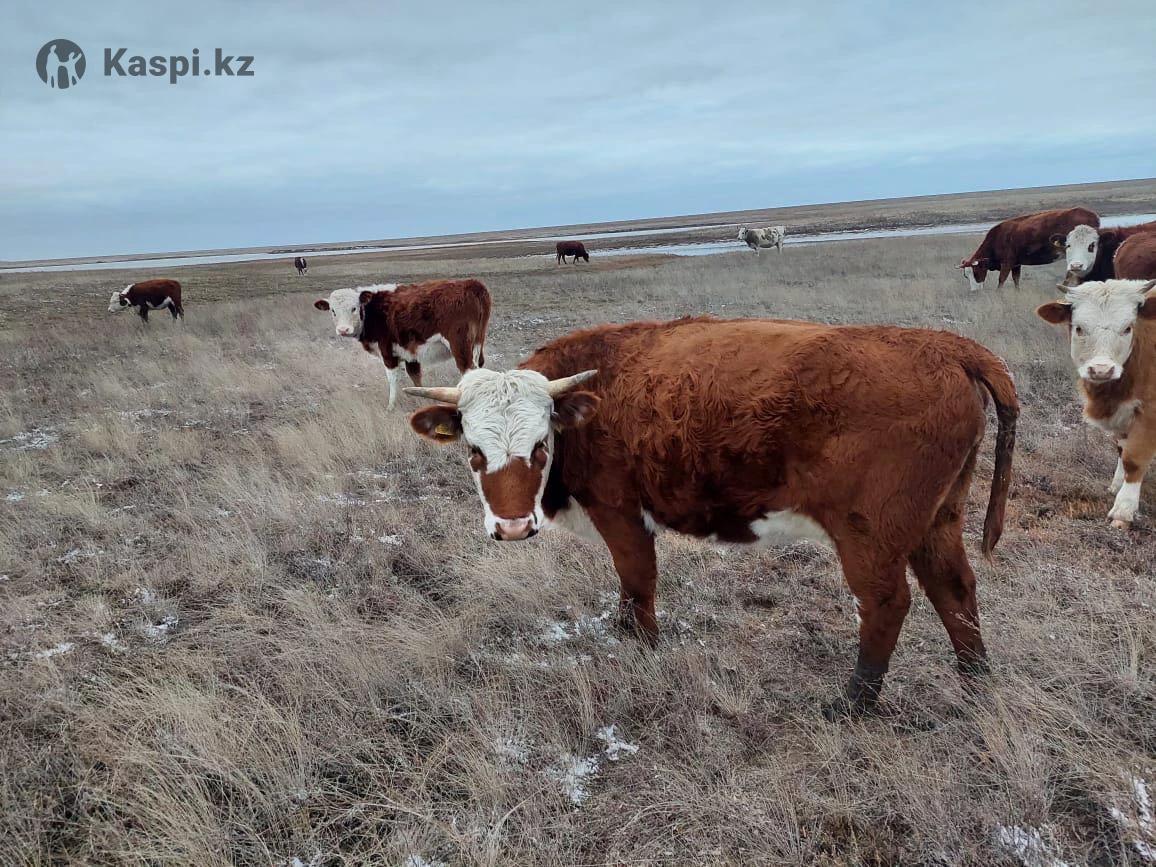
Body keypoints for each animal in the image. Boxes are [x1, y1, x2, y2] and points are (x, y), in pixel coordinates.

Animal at [314, 278, 490, 410]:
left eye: (354, 308)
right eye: (333, 311)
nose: (343, 330)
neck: (374, 310)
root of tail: (472, 284)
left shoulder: (387, 351)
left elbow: (392, 379)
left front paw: (390, 407)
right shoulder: (410, 353)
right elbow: (415, 375)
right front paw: (423, 400)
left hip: (460, 347)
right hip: (476, 344)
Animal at [403, 316, 1018, 718]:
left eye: (537, 448)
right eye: (474, 451)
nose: (512, 528)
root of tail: (945, 347)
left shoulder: (620, 513)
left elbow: (637, 582)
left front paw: (643, 649)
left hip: (871, 537)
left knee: (888, 603)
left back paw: (854, 704)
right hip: (938, 521)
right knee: (955, 589)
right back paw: (975, 683)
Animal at [959, 207, 1099, 289]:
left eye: (976, 272)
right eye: (966, 276)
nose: (974, 291)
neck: (998, 238)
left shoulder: (1007, 263)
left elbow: (1001, 281)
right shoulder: (1016, 264)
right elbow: (1016, 280)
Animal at [1037, 279, 1156, 528]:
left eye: (1127, 328)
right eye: (1079, 328)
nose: (1101, 370)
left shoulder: (1150, 412)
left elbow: (1134, 458)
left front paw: (1123, 510)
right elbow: (1122, 449)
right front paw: (1117, 484)